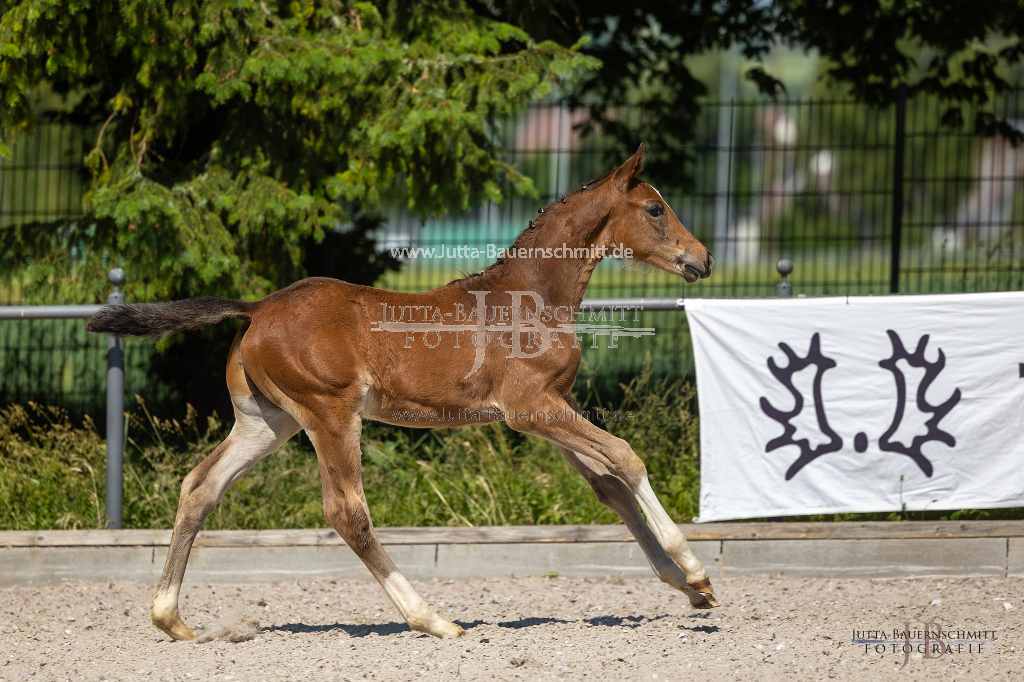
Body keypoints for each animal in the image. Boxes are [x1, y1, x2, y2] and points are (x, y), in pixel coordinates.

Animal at [88, 143, 716, 638]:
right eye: (655, 208)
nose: (704, 259)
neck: (534, 296)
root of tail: (257, 308)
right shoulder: (529, 408)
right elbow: (626, 458)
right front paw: (695, 567)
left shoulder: (551, 407)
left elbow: (608, 484)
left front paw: (689, 589)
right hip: (329, 412)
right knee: (347, 512)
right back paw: (432, 619)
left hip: (266, 421)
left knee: (200, 487)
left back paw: (172, 619)